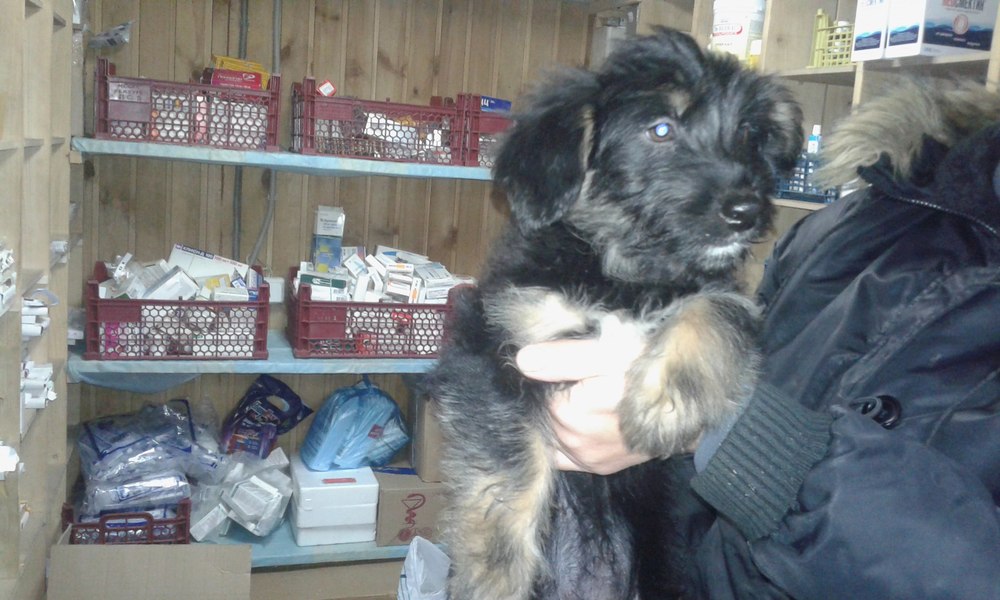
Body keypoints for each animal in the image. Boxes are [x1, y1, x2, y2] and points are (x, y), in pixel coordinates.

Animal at [425, 28, 803, 600]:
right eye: (661, 129)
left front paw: (667, 403)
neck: (626, 273)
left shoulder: (731, 296)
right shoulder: (494, 337)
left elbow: (714, 312)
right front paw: (494, 574)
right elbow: (508, 466)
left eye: (747, 135)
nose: (747, 211)